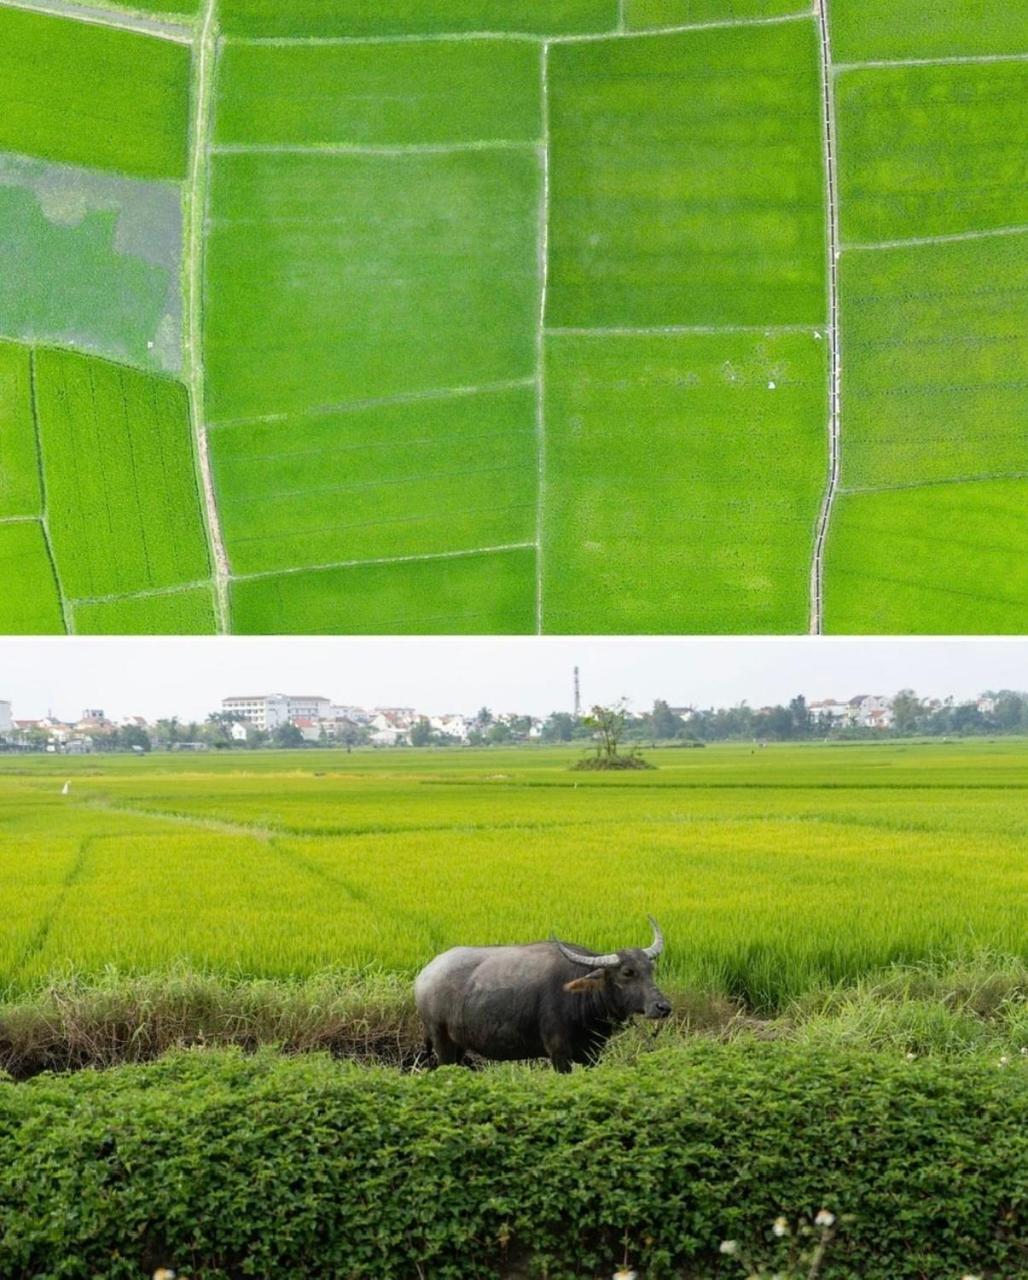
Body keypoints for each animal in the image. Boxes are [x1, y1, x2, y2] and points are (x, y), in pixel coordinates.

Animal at [414, 916, 670, 1075]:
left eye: (651, 969)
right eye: (627, 972)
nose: (663, 1007)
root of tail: (424, 976)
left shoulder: (593, 1054)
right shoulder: (559, 1054)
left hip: (459, 1045)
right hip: (441, 1041)